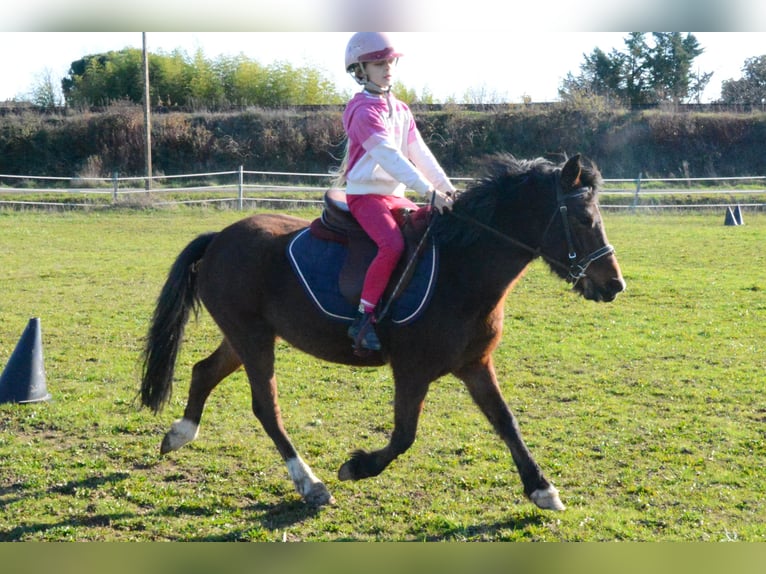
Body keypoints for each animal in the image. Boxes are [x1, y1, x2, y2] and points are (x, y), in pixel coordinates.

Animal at [139, 153, 625, 511]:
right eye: (583, 219)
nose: (614, 284)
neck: (461, 267)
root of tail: (220, 237)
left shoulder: (475, 364)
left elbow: (506, 421)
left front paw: (541, 487)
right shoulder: (412, 370)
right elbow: (404, 435)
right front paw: (356, 468)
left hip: (246, 336)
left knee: (204, 371)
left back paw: (180, 434)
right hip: (253, 339)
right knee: (266, 408)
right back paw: (310, 483)